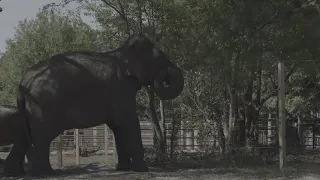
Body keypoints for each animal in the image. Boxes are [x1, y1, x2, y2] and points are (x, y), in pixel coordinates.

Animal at [4, 34, 185, 177]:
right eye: (160, 58)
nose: (165, 75)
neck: (121, 54)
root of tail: (23, 82)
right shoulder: (120, 89)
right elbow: (129, 122)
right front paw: (143, 170)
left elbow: (118, 127)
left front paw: (123, 169)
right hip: (42, 108)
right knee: (41, 138)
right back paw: (47, 173)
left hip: (29, 110)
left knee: (25, 137)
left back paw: (15, 173)